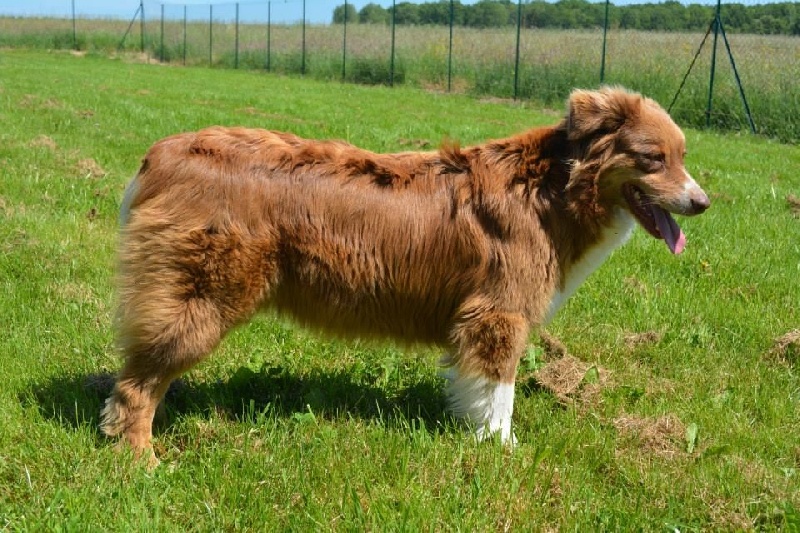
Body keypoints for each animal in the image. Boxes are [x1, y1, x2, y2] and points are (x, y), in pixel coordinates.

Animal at [101, 86, 712, 454]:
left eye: (683, 157)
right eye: (653, 159)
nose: (703, 202)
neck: (552, 189)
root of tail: (160, 154)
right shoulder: (498, 314)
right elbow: (500, 393)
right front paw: (502, 450)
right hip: (203, 295)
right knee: (136, 384)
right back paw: (142, 460)